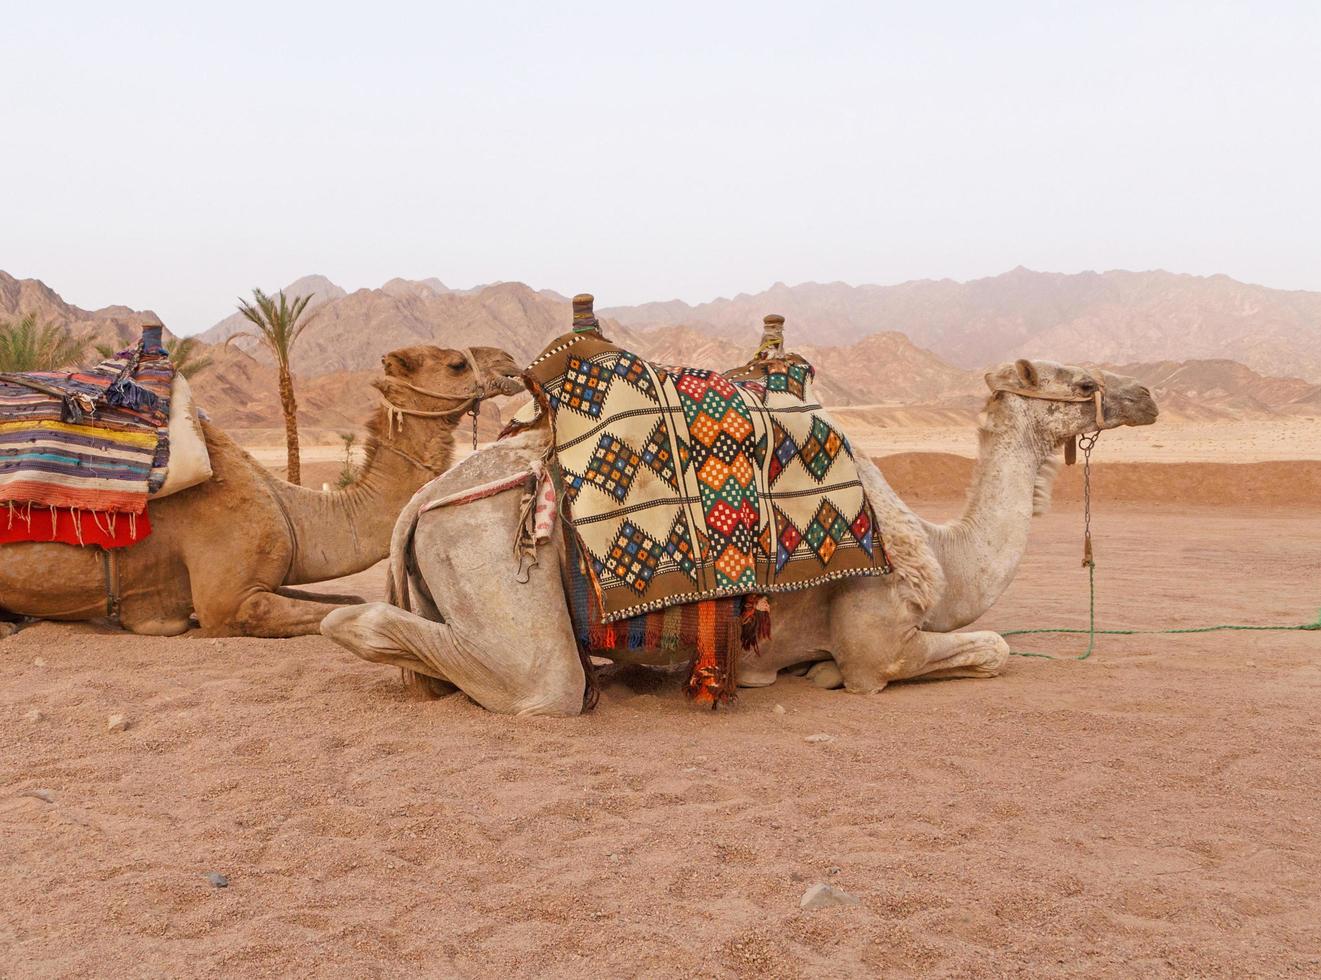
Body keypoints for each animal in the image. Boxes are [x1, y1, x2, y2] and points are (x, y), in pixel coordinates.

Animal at [319, 356, 1157, 718]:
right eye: (1082, 382)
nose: (1144, 395)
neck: (946, 557)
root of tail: (421, 502)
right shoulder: (877, 633)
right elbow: (989, 650)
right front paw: (823, 674)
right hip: (490, 546)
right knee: (529, 678)